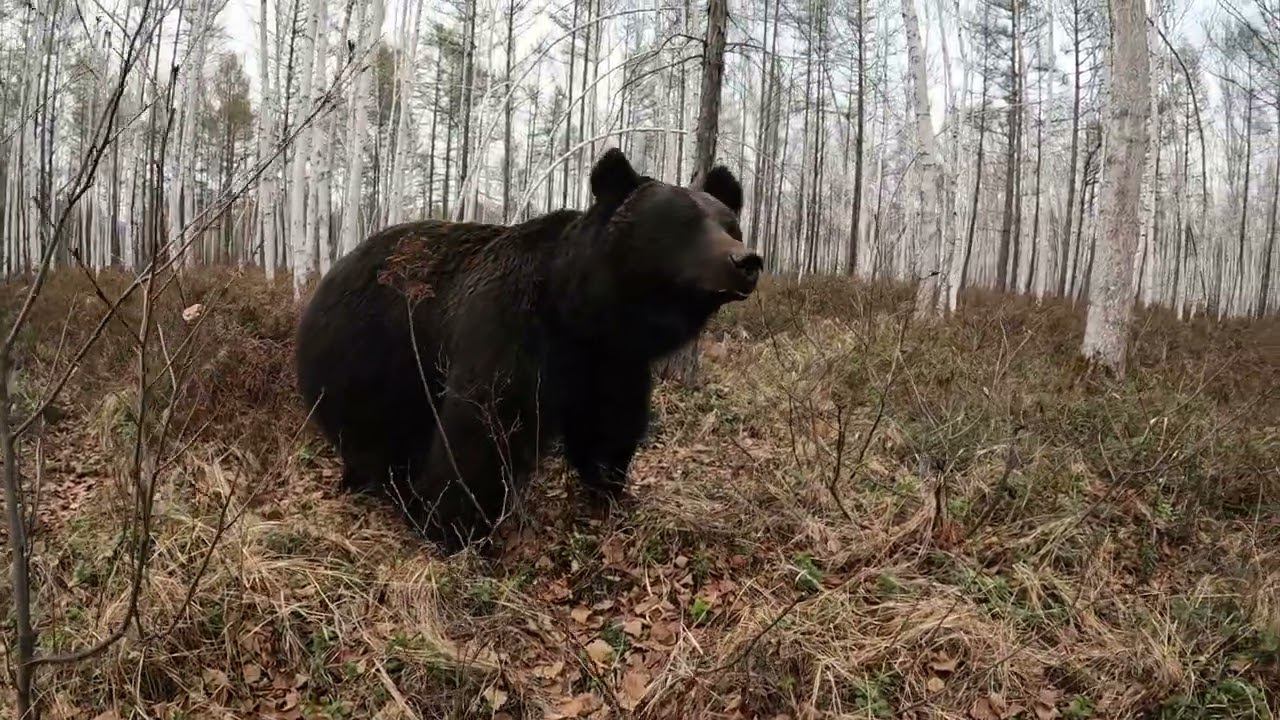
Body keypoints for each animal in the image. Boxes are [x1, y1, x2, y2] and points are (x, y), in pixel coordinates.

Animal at [294, 147, 757, 548]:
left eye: (729, 224)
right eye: (684, 223)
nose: (746, 261)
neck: (580, 313)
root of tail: (333, 269)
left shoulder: (611, 361)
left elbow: (610, 425)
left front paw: (606, 487)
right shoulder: (510, 331)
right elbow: (484, 429)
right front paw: (453, 525)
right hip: (370, 353)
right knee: (371, 429)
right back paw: (379, 484)